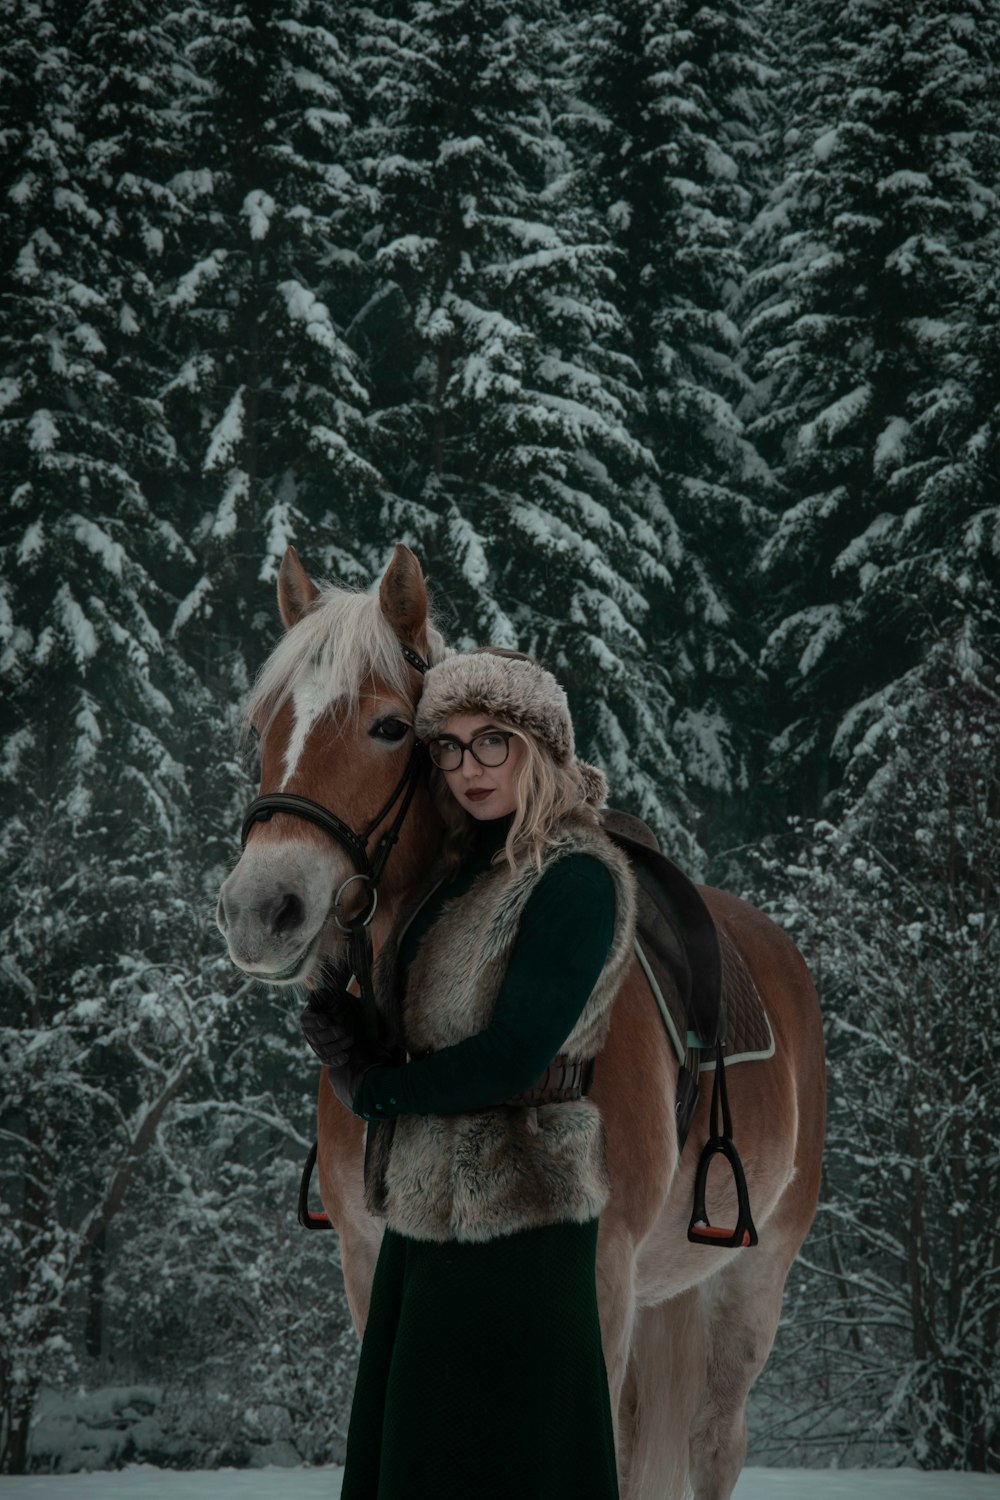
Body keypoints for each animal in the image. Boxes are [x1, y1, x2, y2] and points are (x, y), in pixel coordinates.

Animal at [218, 546, 827, 1494]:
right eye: (261, 728)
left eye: (389, 727)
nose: (259, 909)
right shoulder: (364, 1259)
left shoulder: (605, 1276)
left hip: (750, 1281)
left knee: (712, 1446)